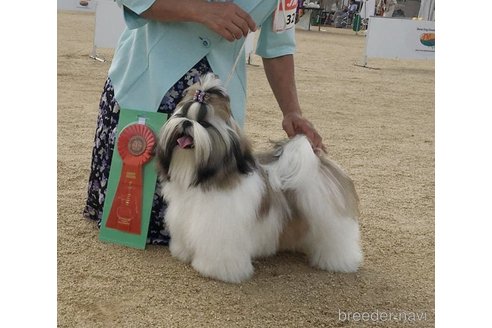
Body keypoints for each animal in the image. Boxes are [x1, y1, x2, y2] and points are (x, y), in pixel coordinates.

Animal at [156, 73, 364, 284]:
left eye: (204, 123)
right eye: (182, 115)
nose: (186, 123)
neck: (208, 177)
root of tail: (319, 161)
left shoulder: (221, 229)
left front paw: (216, 270)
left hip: (329, 219)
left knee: (336, 239)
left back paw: (338, 261)